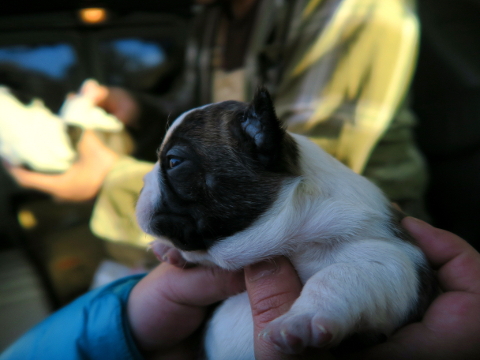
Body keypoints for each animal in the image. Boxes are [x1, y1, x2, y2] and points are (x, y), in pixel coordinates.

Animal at [136, 88, 438, 358]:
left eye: (174, 161)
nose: (142, 182)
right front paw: (171, 252)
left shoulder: (392, 261)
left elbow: (337, 276)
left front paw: (302, 322)